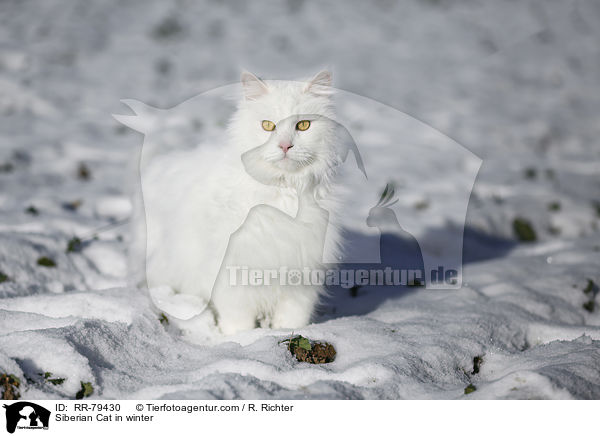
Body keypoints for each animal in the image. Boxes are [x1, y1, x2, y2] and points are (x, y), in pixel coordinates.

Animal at [135, 70, 342, 334]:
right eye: (268, 126)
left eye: (303, 125)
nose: (285, 146)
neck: (283, 194)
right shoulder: (231, 272)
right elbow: (238, 318)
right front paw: (241, 339)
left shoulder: (301, 274)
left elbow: (293, 317)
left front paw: (285, 333)